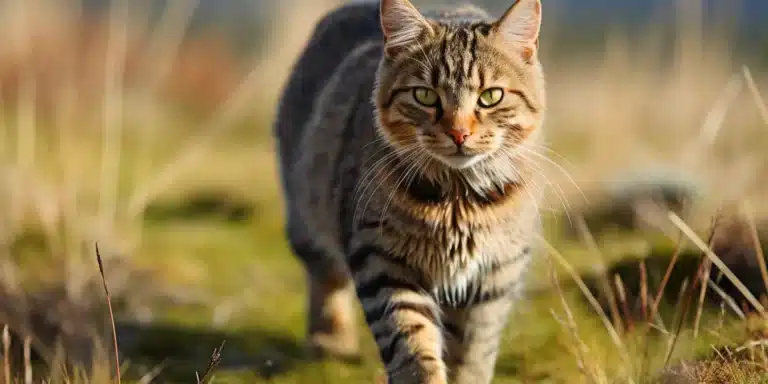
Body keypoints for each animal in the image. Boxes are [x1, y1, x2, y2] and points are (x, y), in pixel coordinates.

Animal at [274, 0, 544, 380]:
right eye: (425, 95)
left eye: (490, 96)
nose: (458, 133)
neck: (457, 198)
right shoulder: (384, 261)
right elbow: (412, 342)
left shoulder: (494, 276)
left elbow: (472, 352)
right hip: (307, 210)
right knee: (325, 277)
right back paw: (331, 341)